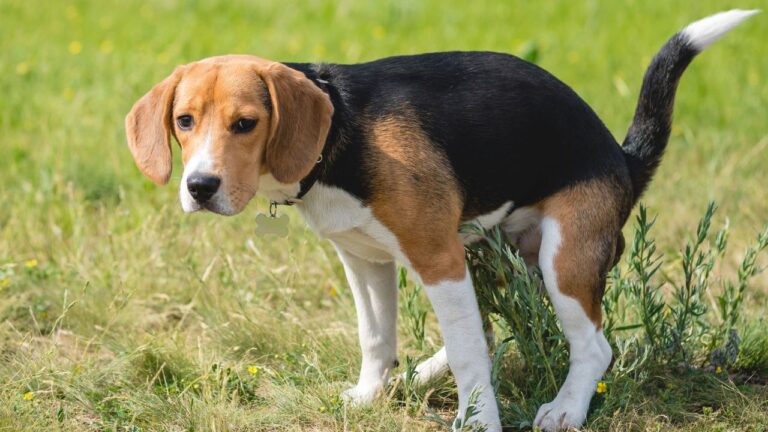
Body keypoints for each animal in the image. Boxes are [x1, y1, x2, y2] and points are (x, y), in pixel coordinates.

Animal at [124, 10, 756, 432]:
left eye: (246, 124)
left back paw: (565, 409)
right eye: (184, 121)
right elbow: (377, 336)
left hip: (561, 258)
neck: (339, 134)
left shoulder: (436, 257)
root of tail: (622, 158)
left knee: (592, 347)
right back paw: (424, 374)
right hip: (491, 256)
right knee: (488, 330)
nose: (199, 187)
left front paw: (477, 421)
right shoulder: (364, 260)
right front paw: (369, 395)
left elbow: (472, 353)